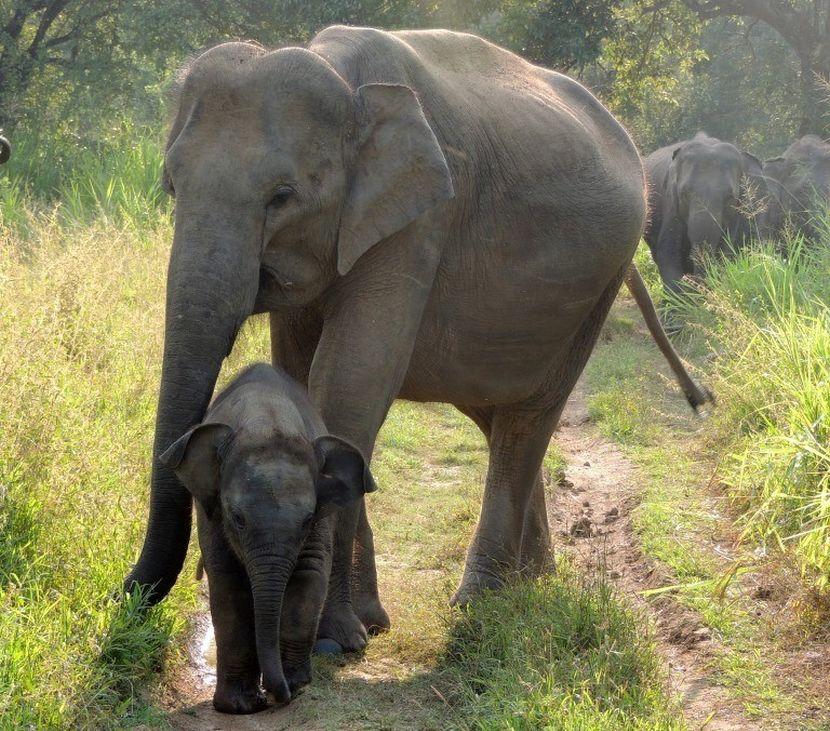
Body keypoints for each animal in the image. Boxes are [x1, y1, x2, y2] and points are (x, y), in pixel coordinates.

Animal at [158, 364, 376, 712]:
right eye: (237, 518)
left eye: (306, 521)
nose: (278, 694)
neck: (267, 419)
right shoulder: (211, 513)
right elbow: (228, 583)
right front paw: (239, 706)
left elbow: (309, 576)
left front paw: (297, 685)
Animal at [644, 132, 768, 294]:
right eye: (684, 194)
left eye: (730, 197)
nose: (695, 283)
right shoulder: (671, 205)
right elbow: (668, 253)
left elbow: (727, 254)